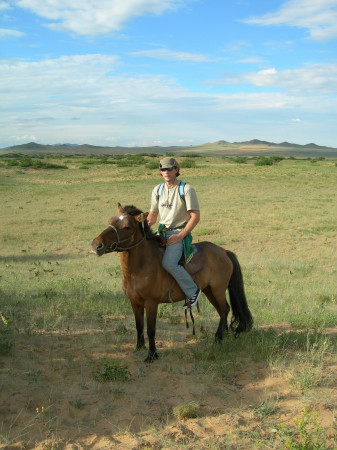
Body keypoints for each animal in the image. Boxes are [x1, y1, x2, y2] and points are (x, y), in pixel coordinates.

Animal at [92, 204, 252, 362]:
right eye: (110, 221)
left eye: (126, 227)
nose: (96, 245)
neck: (140, 267)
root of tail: (224, 252)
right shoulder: (134, 302)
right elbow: (139, 326)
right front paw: (139, 348)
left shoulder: (151, 303)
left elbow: (151, 329)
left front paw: (152, 355)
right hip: (209, 291)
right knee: (221, 311)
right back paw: (223, 336)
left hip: (218, 290)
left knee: (224, 309)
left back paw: (218, 339)